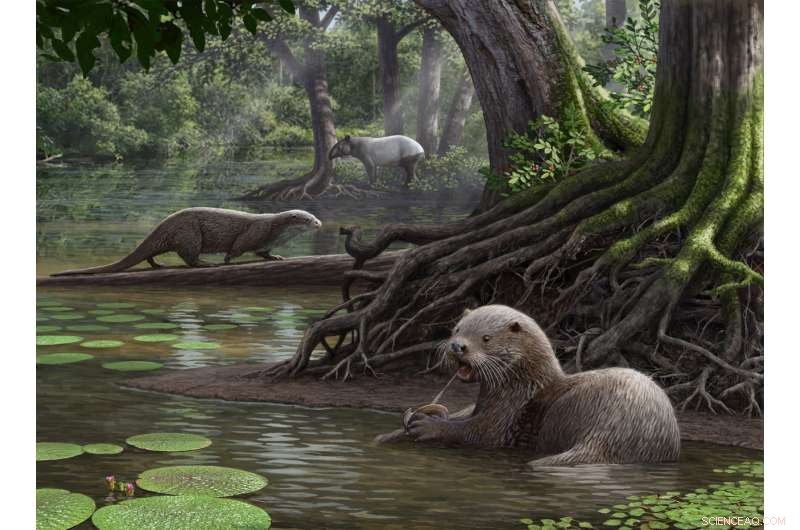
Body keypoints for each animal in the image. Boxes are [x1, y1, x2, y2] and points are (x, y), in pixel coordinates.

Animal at [53, 207, 322, 276]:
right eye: (308, 219)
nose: (319, 223)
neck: (275, 229)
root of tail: (163, 224)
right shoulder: (255, 232)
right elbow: (236, 248)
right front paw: (226, 260)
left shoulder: (265, 242)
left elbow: (264, 253)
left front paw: (275, 256)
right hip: (189, 234)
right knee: (189, 257)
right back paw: (206, 263)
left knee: (152, 254)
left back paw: (158, 265)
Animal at [378, 305, 680, 467]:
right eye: (457, 329)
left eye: (486, 338)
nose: (457, 346)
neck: (523, 386)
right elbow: (462, 417)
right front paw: (394, 431)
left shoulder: (505, 416)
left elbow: (478, 433)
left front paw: (427, 426)